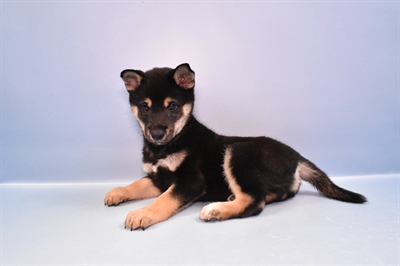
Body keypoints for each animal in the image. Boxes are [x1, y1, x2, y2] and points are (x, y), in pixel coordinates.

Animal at [104, 63, 368, 230]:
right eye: (145, 107)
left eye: (172, 106)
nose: (157, 134)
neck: (167, 146)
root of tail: (297, 158)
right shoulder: (158, 178)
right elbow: (136, 184)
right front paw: (117, 192)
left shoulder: (191, 181)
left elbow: (164, 200)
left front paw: (143, 213)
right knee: (274, 193)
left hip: (237, 152)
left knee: (254, 202)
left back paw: (217, 210)